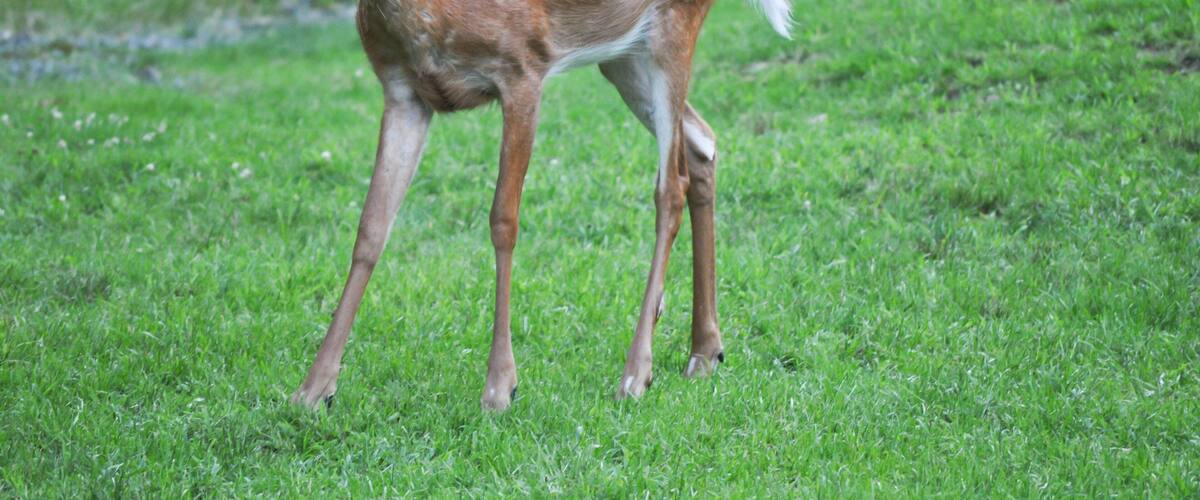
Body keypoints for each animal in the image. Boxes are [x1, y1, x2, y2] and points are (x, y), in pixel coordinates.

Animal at [291, 0, 793, 411]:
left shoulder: (522, 68)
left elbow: (503, 220)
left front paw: (501, 386)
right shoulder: (402, 90)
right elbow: (372, 227)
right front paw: (314, 389)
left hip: (671, 30)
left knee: (671, 185)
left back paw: (636, 373)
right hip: (623, 55)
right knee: (702, 143)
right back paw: (705, 352)